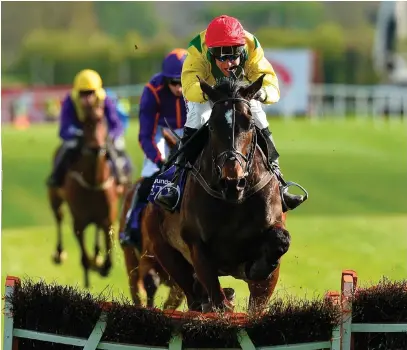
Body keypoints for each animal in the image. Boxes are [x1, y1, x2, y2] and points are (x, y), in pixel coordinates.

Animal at [49, 105, 128, 288]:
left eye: (102, 121)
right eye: (85, 123)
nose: (95, 148)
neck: (93, 181)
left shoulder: (108, 219)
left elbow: (108, 263)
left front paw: (100, 263)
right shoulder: (78, 222)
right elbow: (84, 258)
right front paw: (89, 271)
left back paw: (97, 256)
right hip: (55, 198)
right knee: (59, 217)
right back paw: (60, 253)